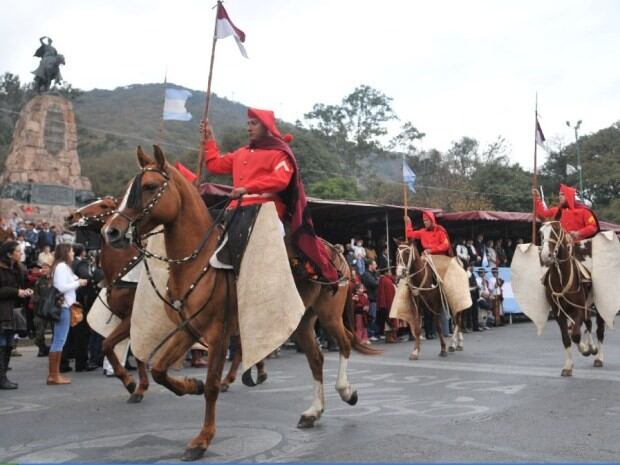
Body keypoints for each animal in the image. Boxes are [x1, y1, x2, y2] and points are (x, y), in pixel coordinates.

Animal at [64, 196, 150, 402]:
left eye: (104, 206)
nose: (71, 216)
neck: (124, 269)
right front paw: (139, 388)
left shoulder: (130, 318)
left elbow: (107, 344)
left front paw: (130, 383)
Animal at [103, 146, 378, 460]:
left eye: (149, 186)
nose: (112, 232)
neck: (199, 260)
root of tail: (336, 251)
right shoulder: (189, 328)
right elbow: (160, 370)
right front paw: (190, 385)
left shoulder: (217, 331)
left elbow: (211, 385)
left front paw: (202, 439)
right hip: (300, 320)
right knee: (316, 358)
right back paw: (313, 411)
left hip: (328, 314)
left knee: (343, 344)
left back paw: (347, 391)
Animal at [536, 219, 604, 376]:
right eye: (541, 233)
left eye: (556, 230)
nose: (546, 256)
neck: (562, 278)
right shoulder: (558, 313)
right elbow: (567, 338)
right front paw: (568, 366)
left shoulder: (577, 310)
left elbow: (575, 335)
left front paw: (585, 350)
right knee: (588, 324)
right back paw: (592, 347)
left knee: (599, 329)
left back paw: (599, 357)